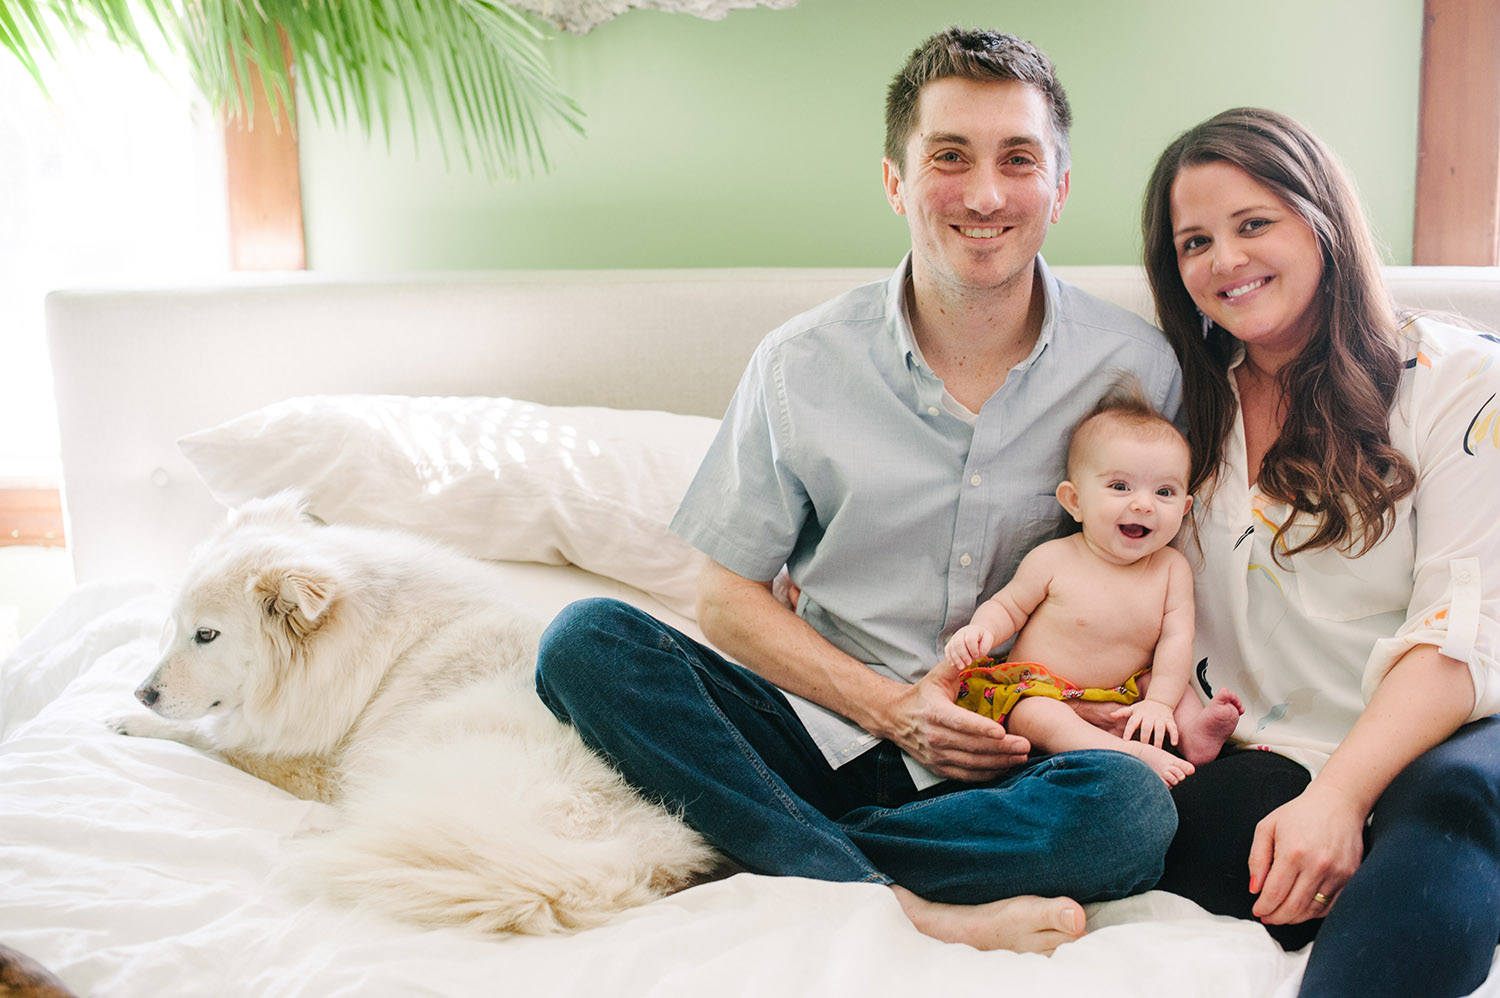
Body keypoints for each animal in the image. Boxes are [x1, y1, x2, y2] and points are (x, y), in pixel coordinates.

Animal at [109, 489, 714, 936]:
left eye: (206, 635)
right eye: (174, 625)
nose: (142, 693)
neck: (367, 647)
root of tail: (641, 852)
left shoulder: (309, 763)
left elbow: (212, 736)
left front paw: (132, 722)